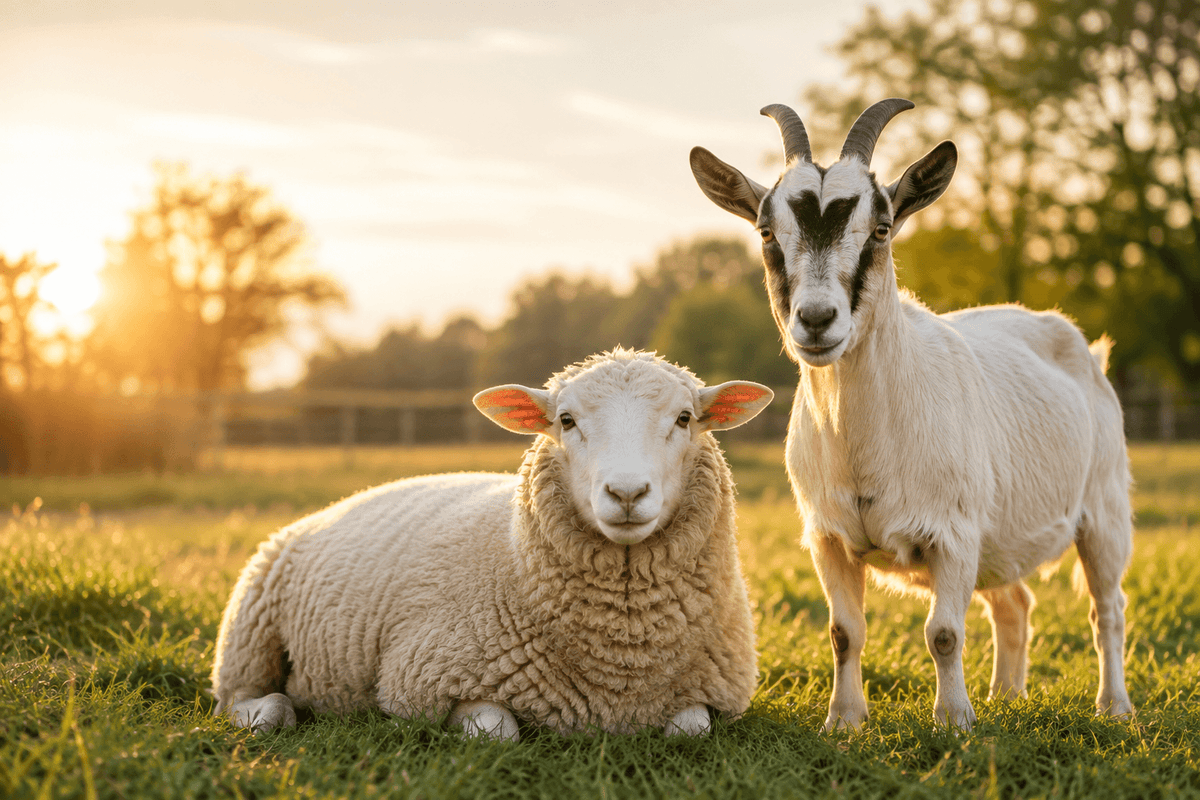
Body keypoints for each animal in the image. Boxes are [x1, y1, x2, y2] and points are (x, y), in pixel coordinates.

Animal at [689, 98, 1133, 730]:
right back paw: (1006, 697)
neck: (868, 449)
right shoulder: (828, 537)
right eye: (766, 231)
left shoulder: (954, 534)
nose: (817, 320)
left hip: (1103, 506)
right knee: (1014, 601)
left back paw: (1113, 706)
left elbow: (944, 633)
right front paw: (844, 720)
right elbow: (844, 633)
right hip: (999, 537)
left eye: (881, 229)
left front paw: (953, 721)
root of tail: (1086, 350)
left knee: (1107, 607)